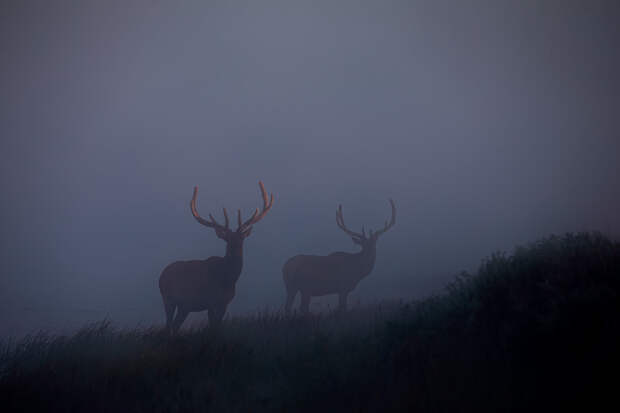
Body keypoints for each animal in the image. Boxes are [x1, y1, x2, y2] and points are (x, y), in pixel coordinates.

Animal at [160, 180, 274, 332]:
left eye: (241, 239)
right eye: (227, 239)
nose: (234, 248)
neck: (227, 279)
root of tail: (161, 276)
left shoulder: (224, 303)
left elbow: (218, 326)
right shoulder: (211, 301)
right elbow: (212, 326)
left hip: (184, 307)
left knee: (175, 325)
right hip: (168, 299)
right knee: (168, 326)